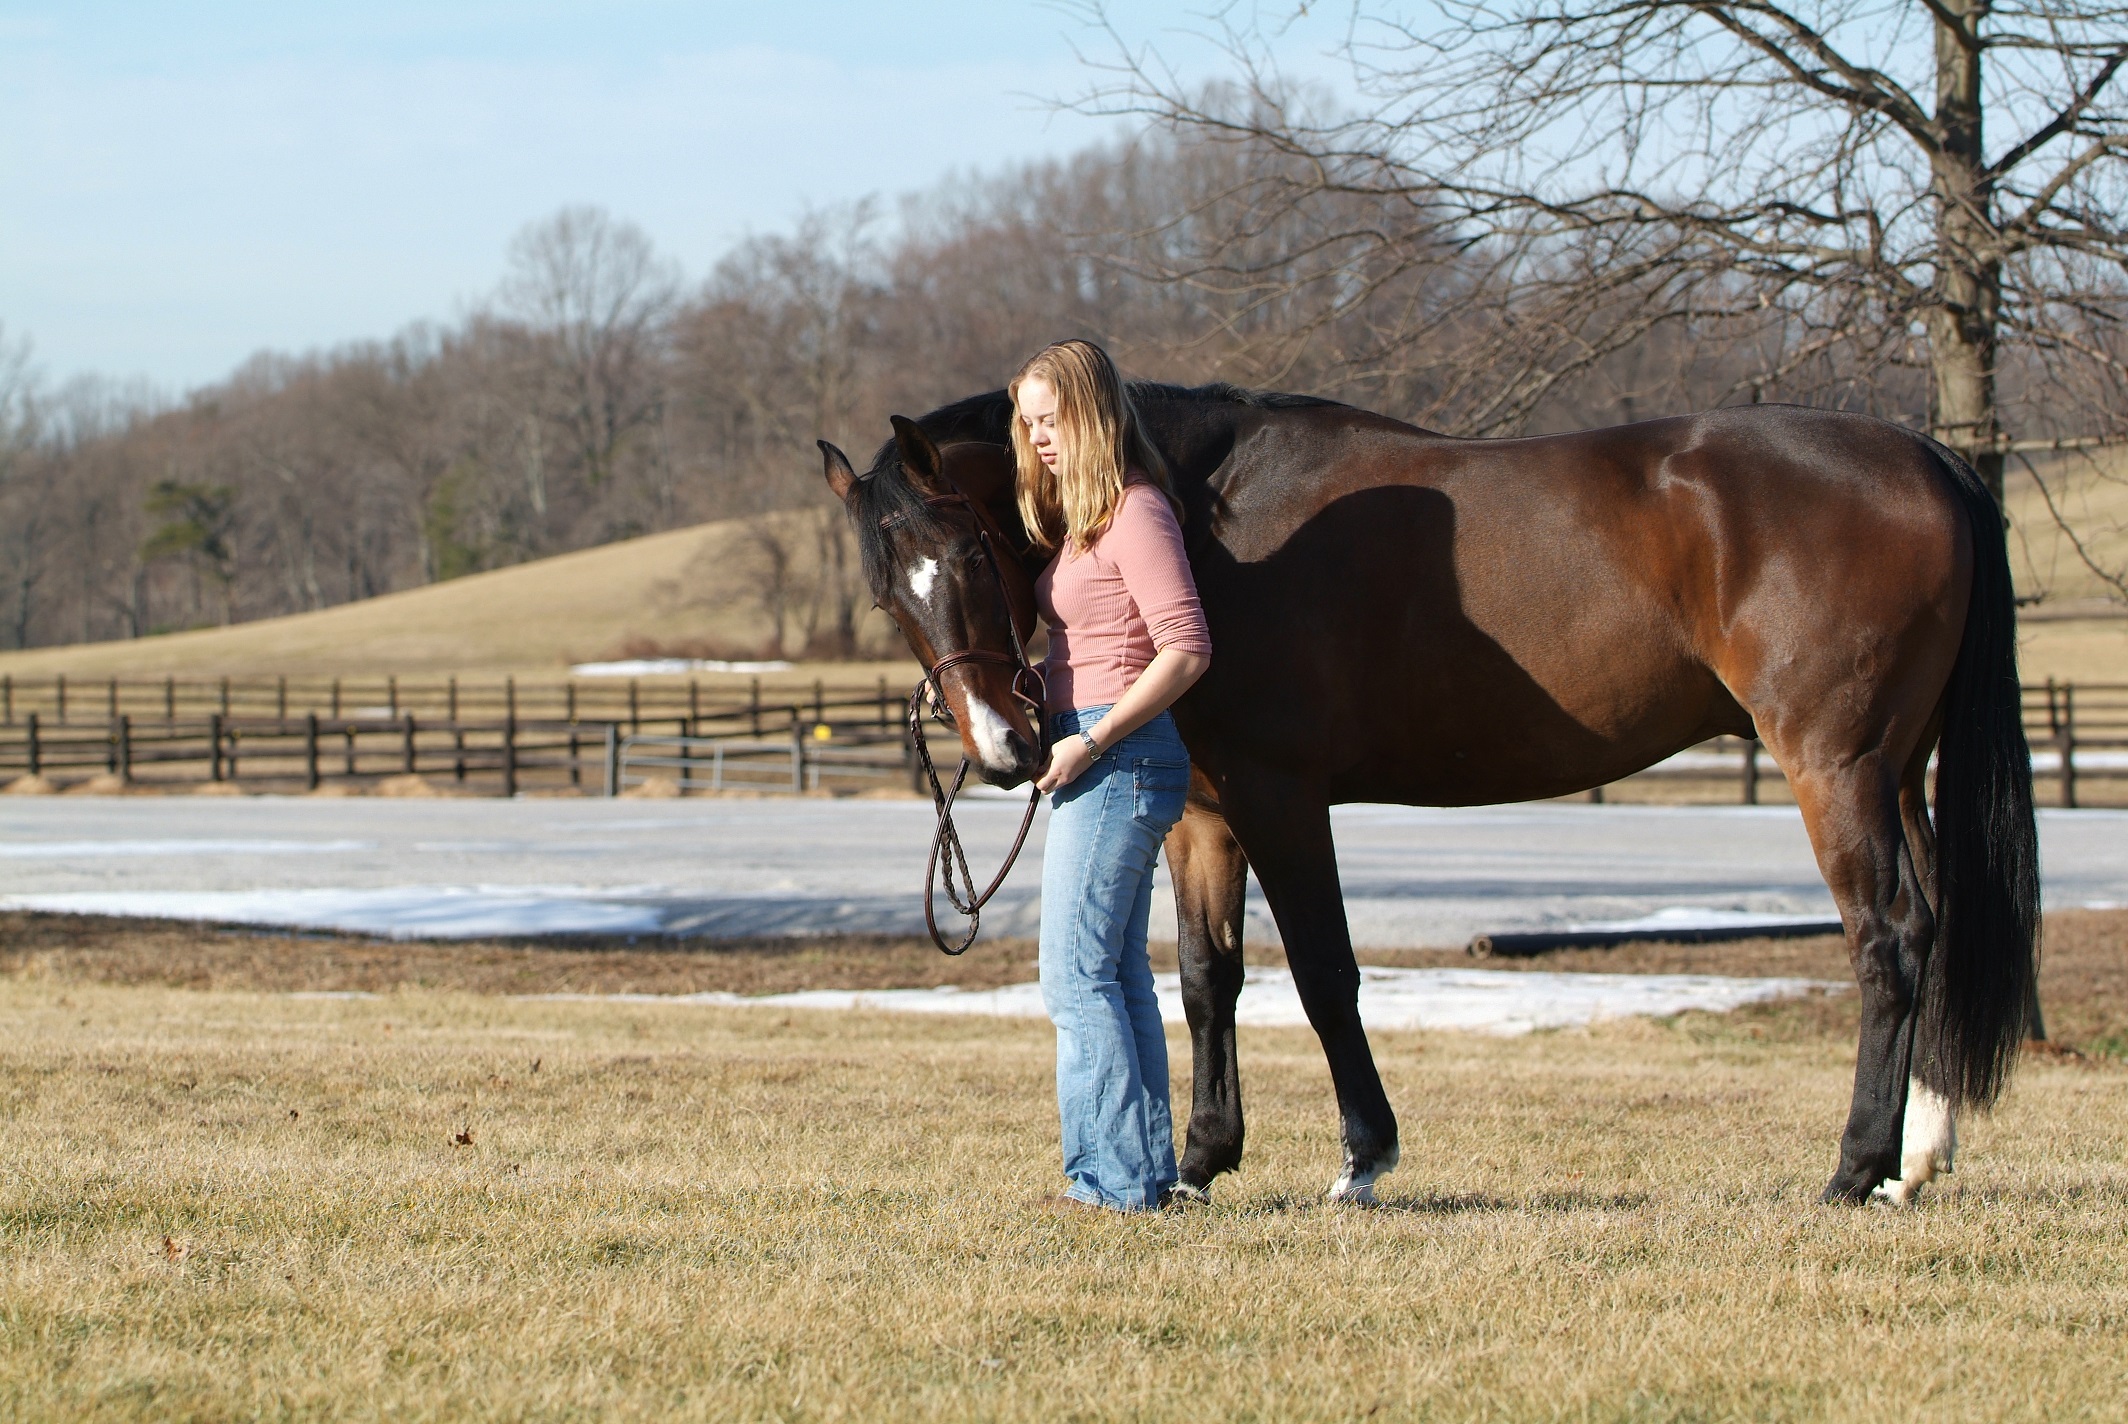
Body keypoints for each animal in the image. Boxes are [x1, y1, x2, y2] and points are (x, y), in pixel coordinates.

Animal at [818, 384, 2038, 1208]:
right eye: (887, 592)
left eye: (970, 555)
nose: (1005, 747)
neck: (1210, 527)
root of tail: (1926, 456)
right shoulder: (1206, 813)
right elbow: (1209, 981)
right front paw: (1204, 1161)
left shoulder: (1281, 796)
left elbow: (1323, 974)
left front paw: (1364, 1156)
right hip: (1900, 772)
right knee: (1931, 928)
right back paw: (1917, 1159)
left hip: (1835, 767)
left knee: (1886, 939)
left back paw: (1852, 1169)